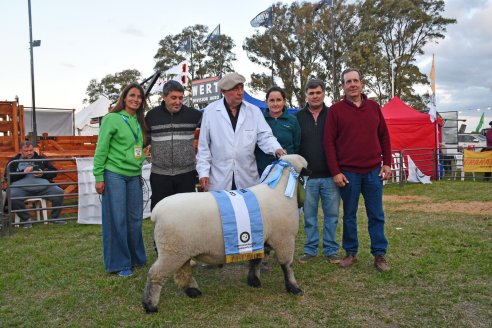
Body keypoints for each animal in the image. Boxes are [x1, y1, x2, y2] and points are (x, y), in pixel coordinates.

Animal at [141, 154, 308, 312]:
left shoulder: (258, 239)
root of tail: (156, 212)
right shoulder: (284, 240)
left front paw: (254, 281)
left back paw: (193, 292)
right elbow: (287, 266)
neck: (279, 191)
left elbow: (255, 262)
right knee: (155, 275)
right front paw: (294, 288)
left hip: (180, 251)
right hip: (171, 250)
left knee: (183, 272)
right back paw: (149, 305)